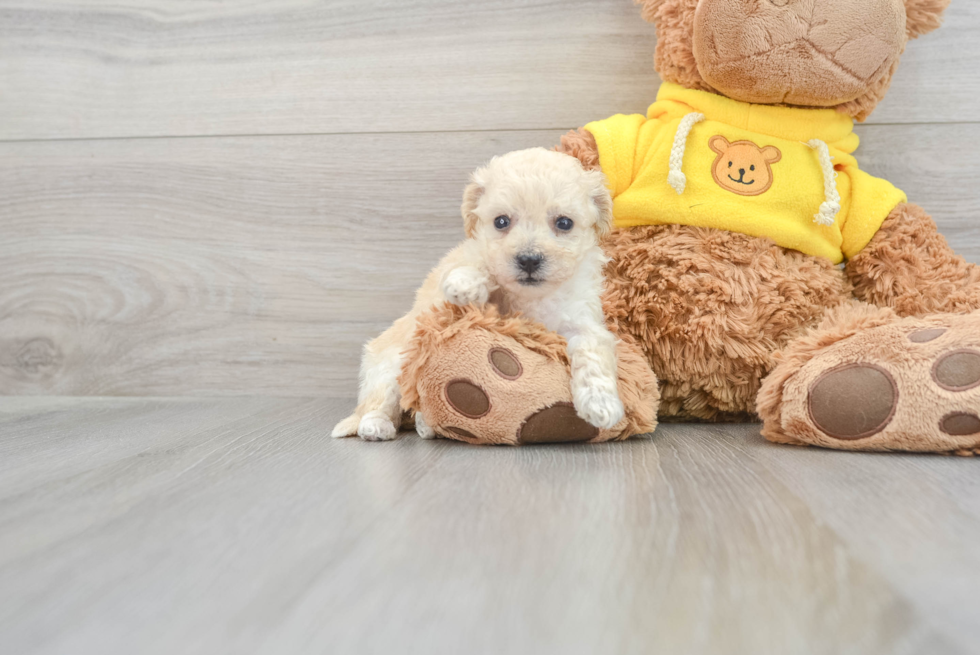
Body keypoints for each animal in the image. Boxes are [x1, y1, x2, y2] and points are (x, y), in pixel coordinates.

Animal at [334, 150, 624, 440]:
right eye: (501, 221)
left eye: (564, 223)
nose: (529, 259)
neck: (530, 296)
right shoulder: (446, 301)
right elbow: (481, 264)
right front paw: (467, 283)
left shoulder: (583, 322)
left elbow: (592, 355)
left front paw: (601, 404)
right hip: (391, 362)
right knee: (383, 398)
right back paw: (376, 425)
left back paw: (424, 425)